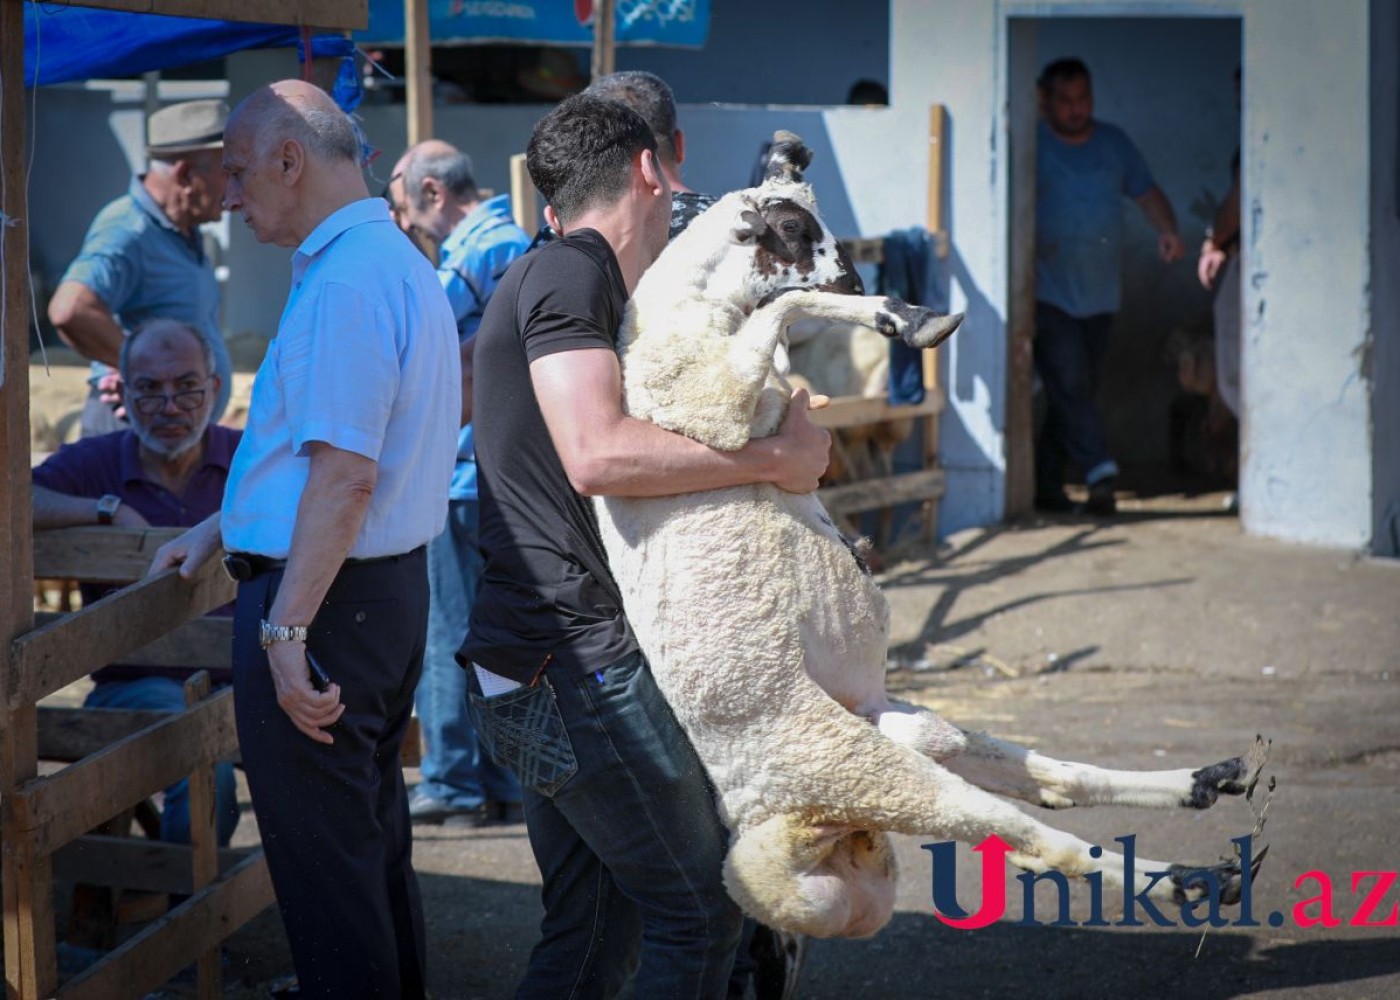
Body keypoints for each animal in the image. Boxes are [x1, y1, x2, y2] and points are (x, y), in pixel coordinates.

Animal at [593, 130, 1271, 935]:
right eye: (794, 228)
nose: (858, 279)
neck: (689, 306)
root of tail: (762, 818)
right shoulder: (706, 407)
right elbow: (789, 301)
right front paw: (911, 319)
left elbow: (782, 315)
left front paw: (908, 317)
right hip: (861, 767)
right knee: (1033, 836)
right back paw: (1196, 878)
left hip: (898, 733)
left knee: (1050, 779)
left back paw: (1206, 784)